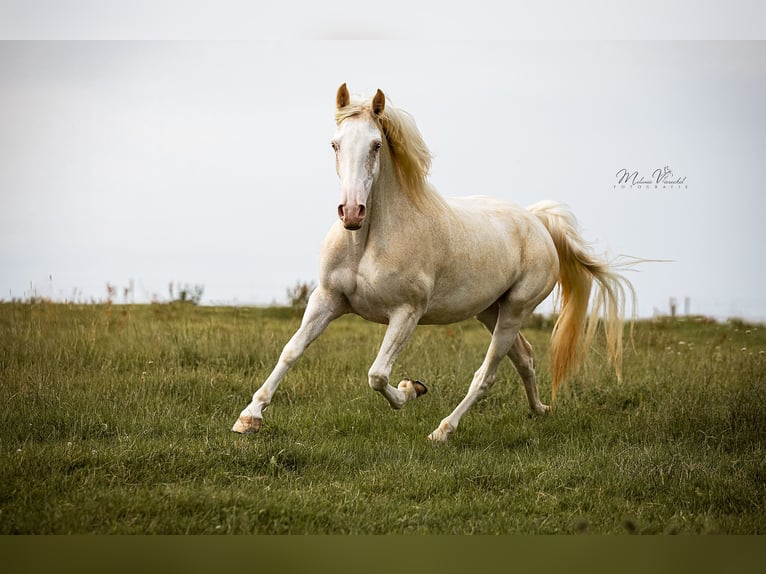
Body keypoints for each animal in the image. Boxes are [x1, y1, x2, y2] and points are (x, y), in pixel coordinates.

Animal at [232, 83, 635, 442]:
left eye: (376, 145)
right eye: (335, 144)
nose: (352, 212)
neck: (367, 241)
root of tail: (536, 220)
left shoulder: (406, 313)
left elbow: (378, 374)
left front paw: (412, 388)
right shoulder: (328, 300)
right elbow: (290, 351)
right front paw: (249, 418)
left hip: (516, 310)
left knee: (486, 375)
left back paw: (442, 431)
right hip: (490, 310)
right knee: (526, 356)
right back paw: (540, 411)